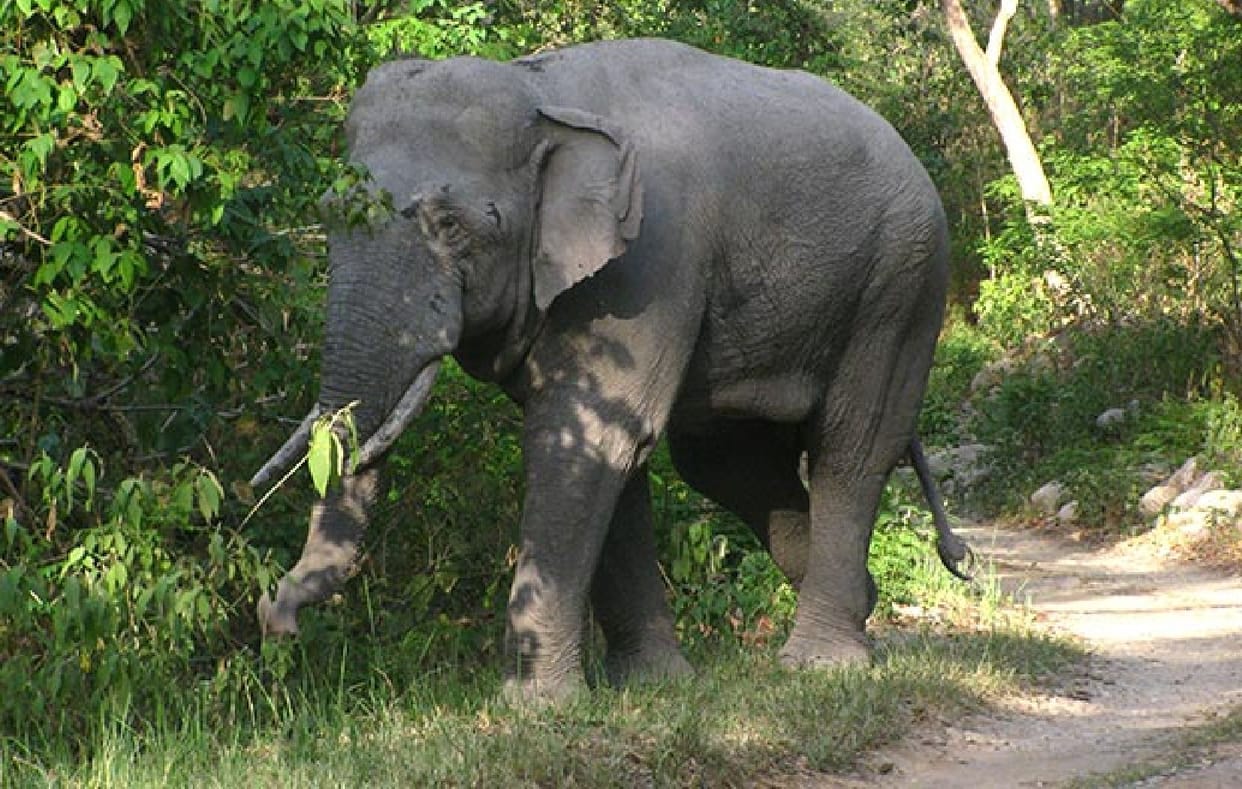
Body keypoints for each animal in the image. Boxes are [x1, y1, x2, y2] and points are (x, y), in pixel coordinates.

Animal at [251, 38, 971, 703]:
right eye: (325, 212)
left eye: (451, 225)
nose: (273, 615)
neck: (540, 92)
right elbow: (606, 444)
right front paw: (651, 685)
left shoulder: (650, 257)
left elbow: (589, 438)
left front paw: (536, 707)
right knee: (726, 463)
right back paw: (863, 607)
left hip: (901, 286)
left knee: (851, 451)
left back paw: (824, 664)